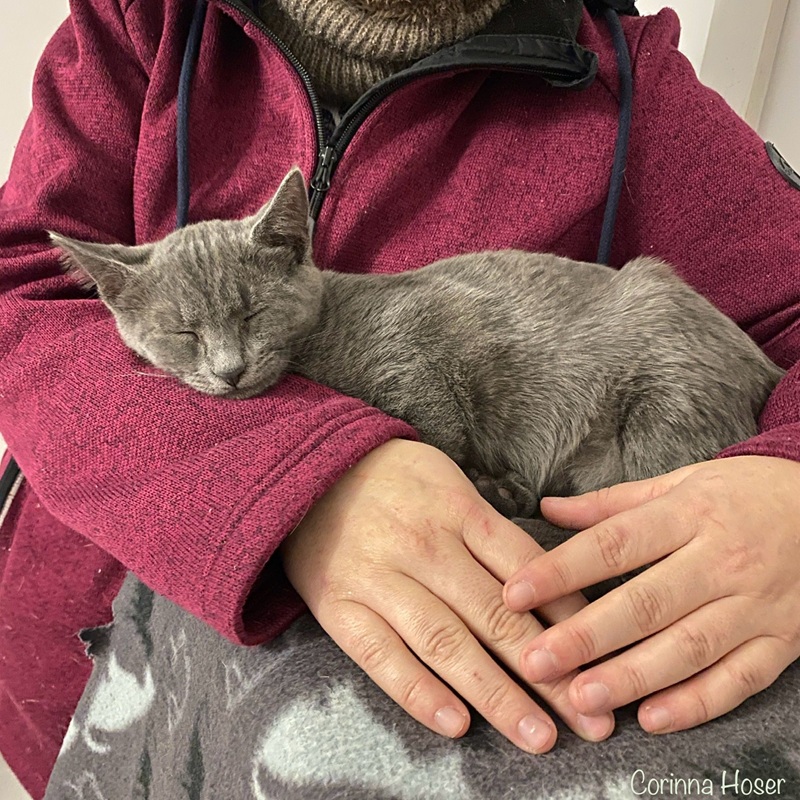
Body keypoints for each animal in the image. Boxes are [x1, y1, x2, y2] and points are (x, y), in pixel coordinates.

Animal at [50, 167, 784, 512]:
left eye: (254, 313)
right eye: (184, 332)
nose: (229, 371)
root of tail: (764, 366)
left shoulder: (434, 330)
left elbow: (440, 427)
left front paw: (478, 472)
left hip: (667, 401)